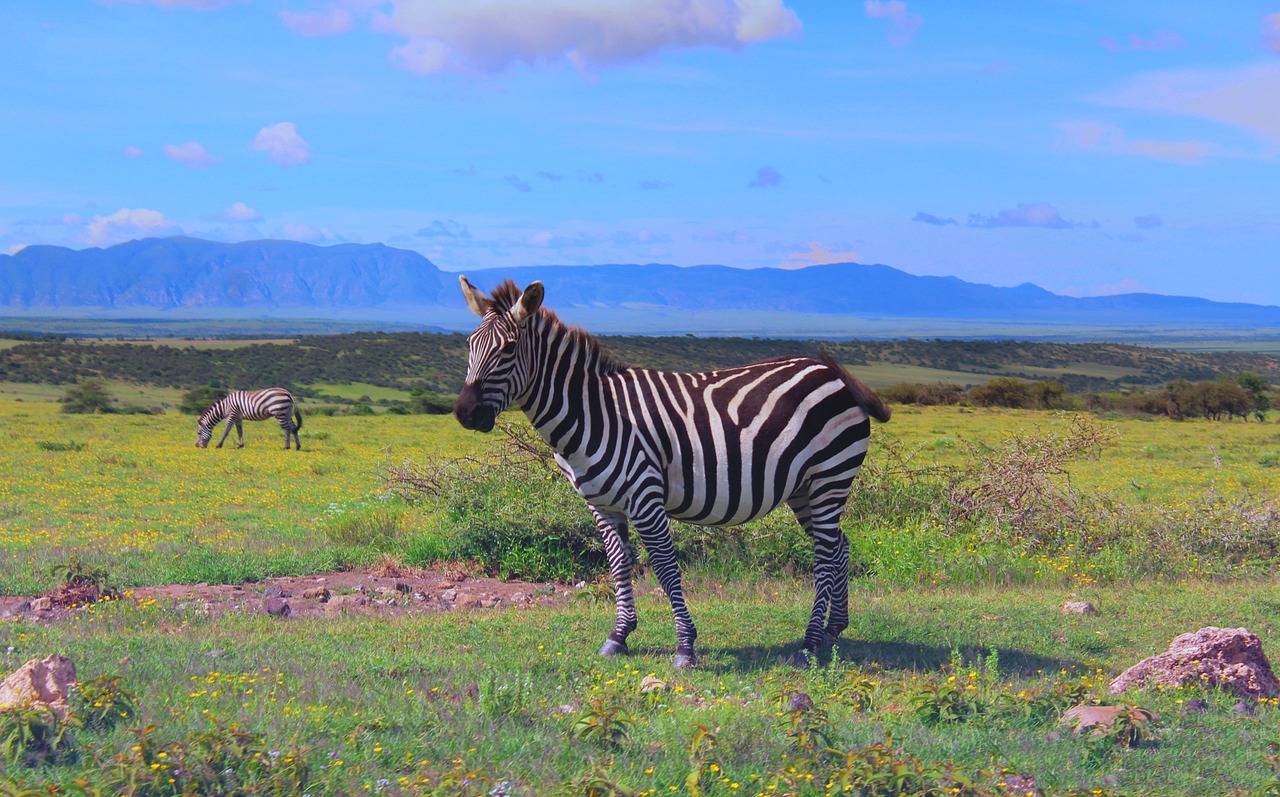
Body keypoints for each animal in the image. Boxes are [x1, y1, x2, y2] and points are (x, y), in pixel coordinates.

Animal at [458, 277, 890, 670]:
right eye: (469, 345)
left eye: (509, 349)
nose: (464, 413)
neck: (592, 412)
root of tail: (832, 372)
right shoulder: (601, 504)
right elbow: (619, 563)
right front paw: (619, 636)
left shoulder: (645, 495)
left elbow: (665, 568)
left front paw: (685, 646)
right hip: (803, 488)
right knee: (838, 546)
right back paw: (834, 629)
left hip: (830, 477)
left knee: (825, 553)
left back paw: (810, 643)